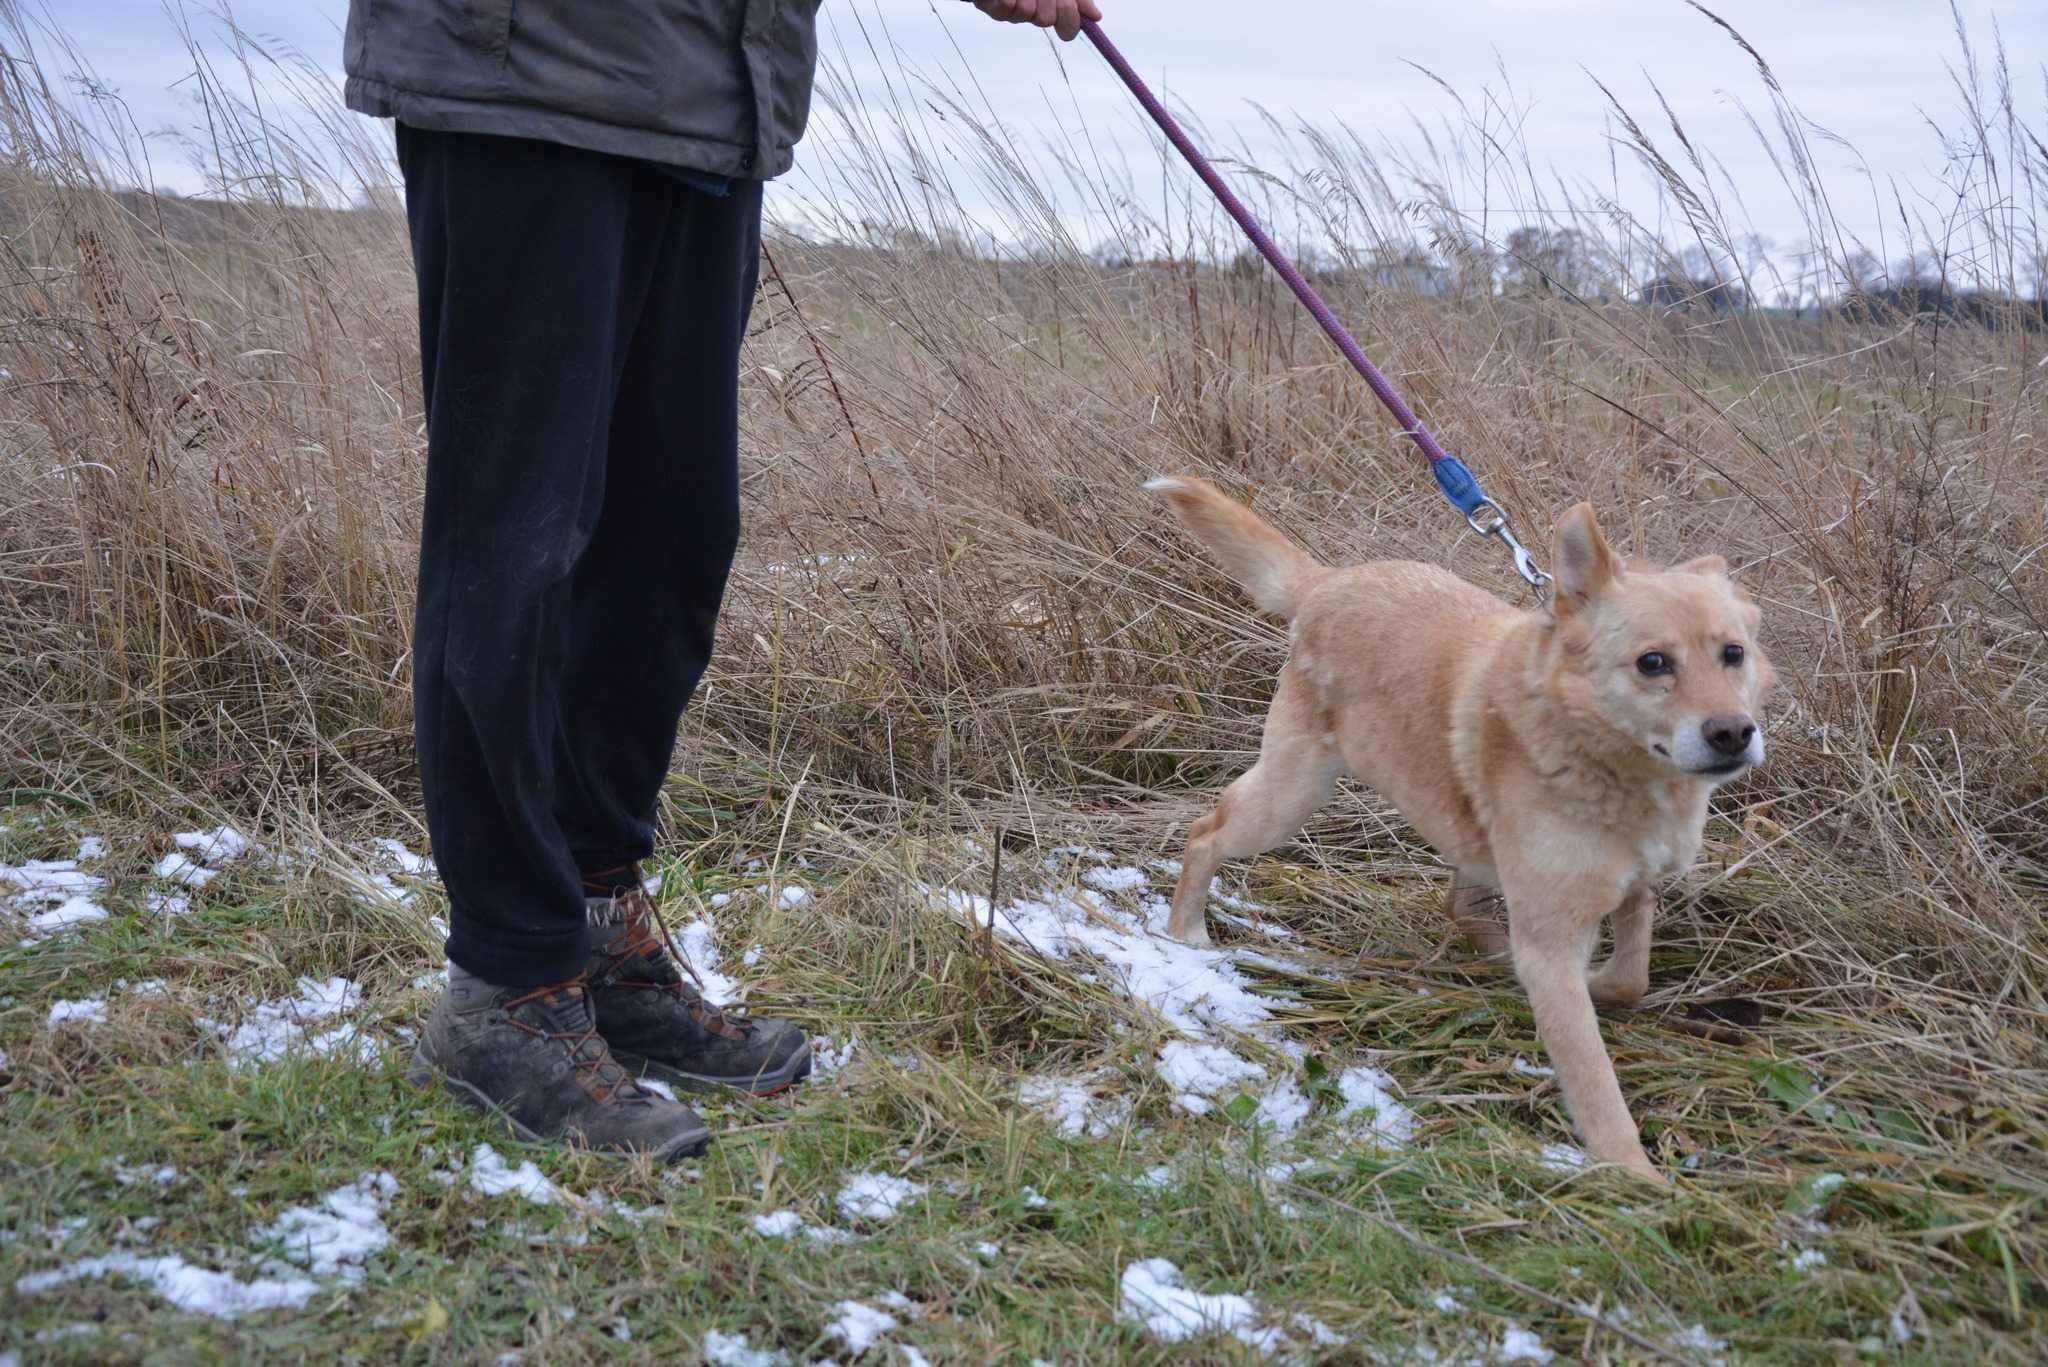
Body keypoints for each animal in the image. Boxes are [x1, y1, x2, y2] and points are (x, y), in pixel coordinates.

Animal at [1146, 475, 1769, 1180]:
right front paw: (1632, 1175)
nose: (1733, 733)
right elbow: (1593, 1079)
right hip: (1288, 799)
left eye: (1733, 654)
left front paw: (1590, 983)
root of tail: (1326, 582)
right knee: (1205, 832)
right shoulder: (1552, 936)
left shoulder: (1632, 888)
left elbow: (1628, 978)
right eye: (1652, 662)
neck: (1607, 760)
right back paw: (1185, 931)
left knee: (1460, 901)